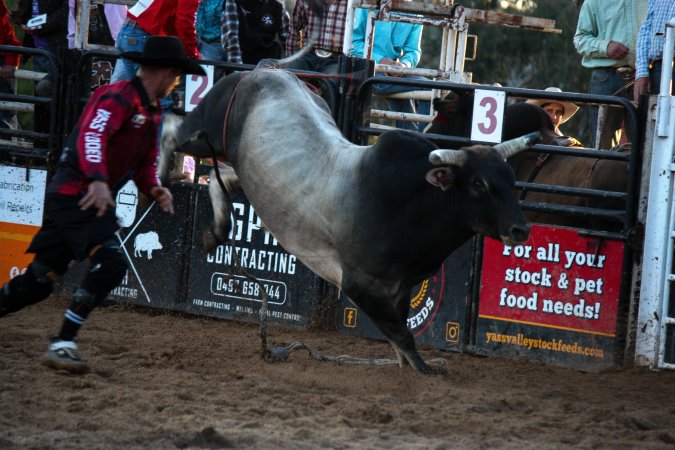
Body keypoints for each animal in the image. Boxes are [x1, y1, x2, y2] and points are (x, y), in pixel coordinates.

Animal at [158, 57, 538, 375]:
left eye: (510, 178)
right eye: (478, 184)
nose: (521, 228)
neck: (414, 204)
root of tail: (262, 71)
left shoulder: (400, 288)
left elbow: (399, 337)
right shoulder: (360, 285)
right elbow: (404, 336)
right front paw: (427, 371)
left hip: (239, 162)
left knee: (221, 178)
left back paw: (217, 230)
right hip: (206, 127)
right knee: (171, 129)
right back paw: (161, 177)